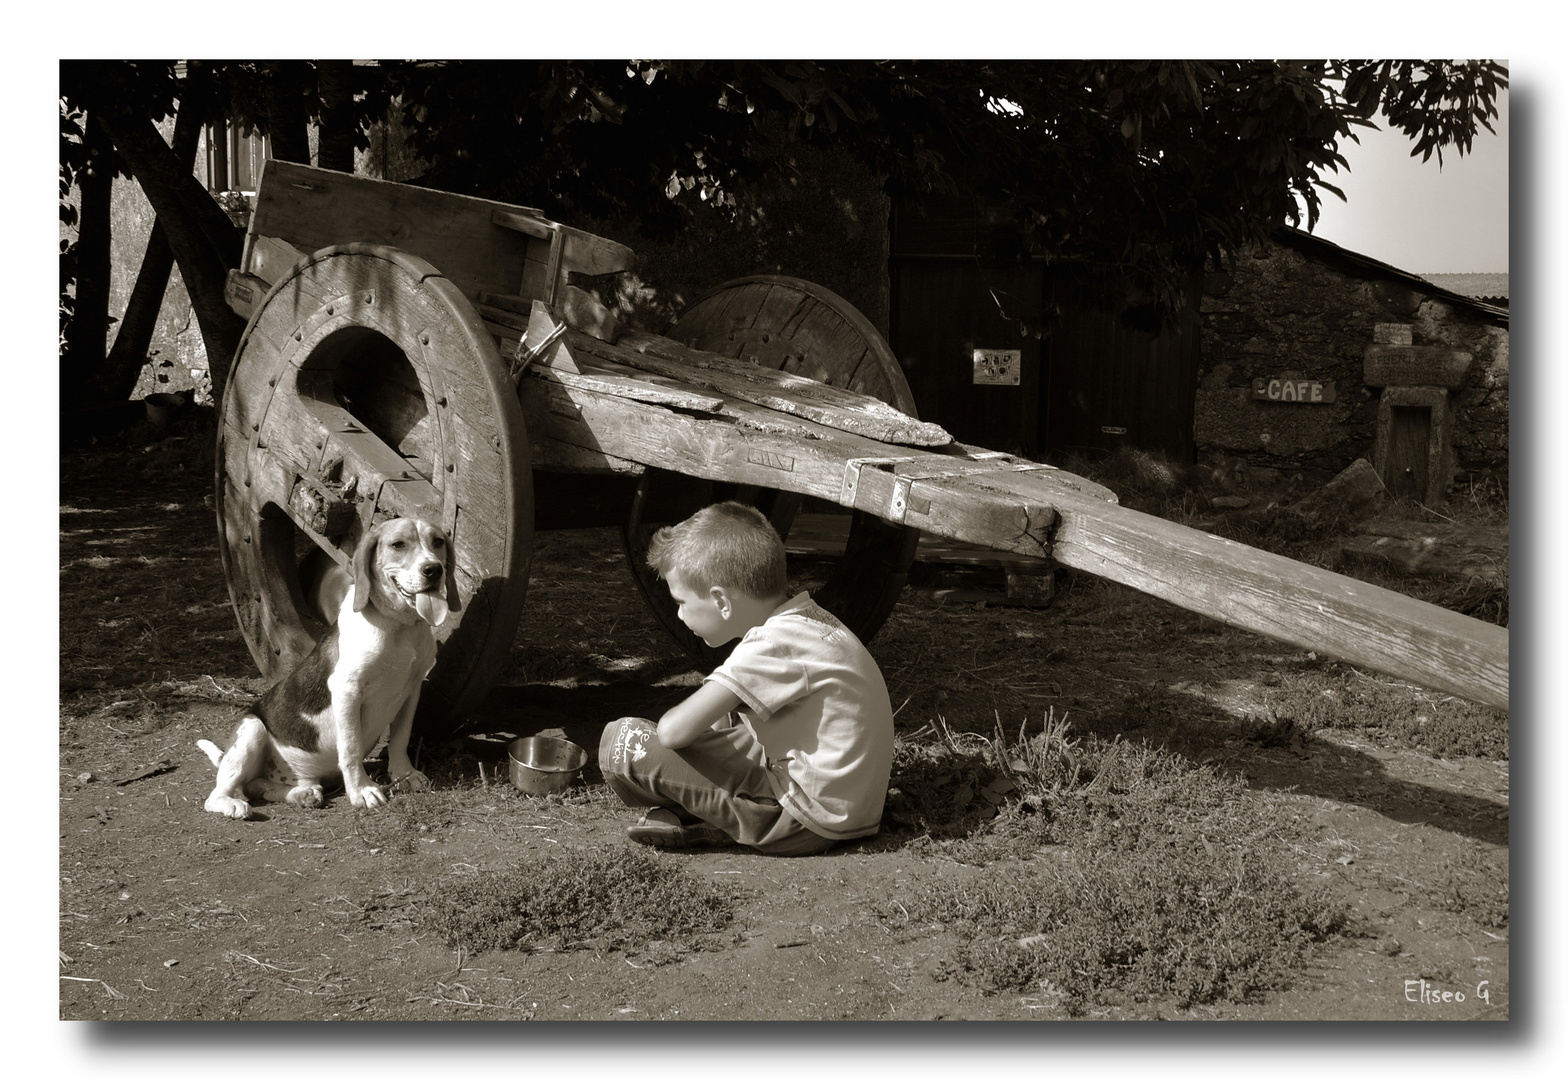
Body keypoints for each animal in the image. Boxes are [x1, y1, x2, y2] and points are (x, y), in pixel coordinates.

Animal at [194, 517, 454, 815]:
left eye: (438, 542)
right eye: (398, 544)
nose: (433, 570)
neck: (399, 627)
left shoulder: (411, 690)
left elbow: (400, 738)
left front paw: (404, 774)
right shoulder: (346, 691)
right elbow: (351, 747)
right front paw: (361, 790)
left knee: (256, 786)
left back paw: (302, 793)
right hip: (252, 728)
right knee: (219, 795)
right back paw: (233, 804)